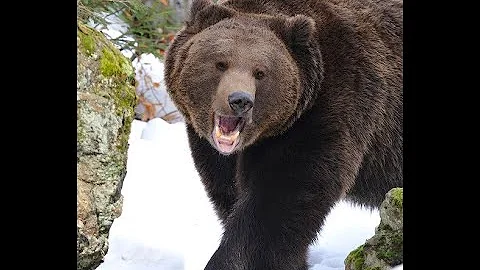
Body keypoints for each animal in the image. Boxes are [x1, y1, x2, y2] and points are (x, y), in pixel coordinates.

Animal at [164, 0, 402, 268]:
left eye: (260, 72)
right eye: (220, 63)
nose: (240, 100)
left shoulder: (326, 111)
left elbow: (279, 200)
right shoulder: (212, 150)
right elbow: (227, 190)